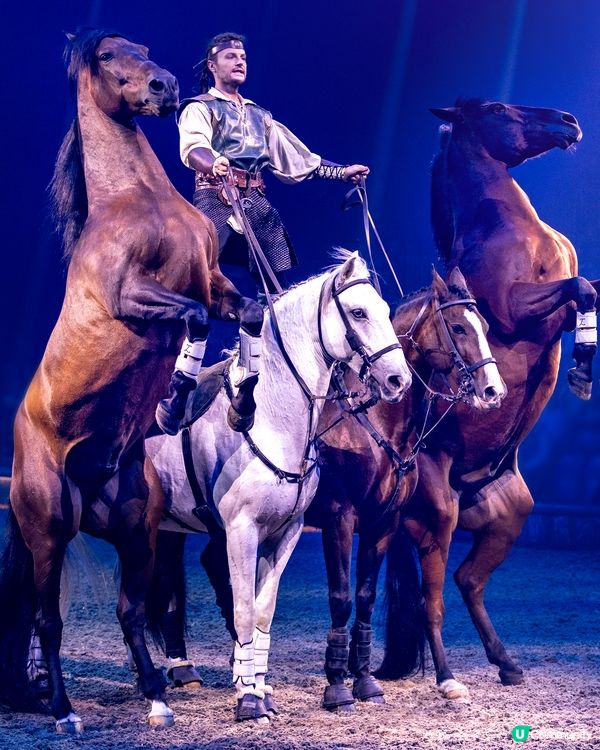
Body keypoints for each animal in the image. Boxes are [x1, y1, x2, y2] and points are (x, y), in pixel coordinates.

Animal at [0, 28, 262, 733]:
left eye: (141, 47)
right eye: (106, 56)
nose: (165, 87)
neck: (136, 201)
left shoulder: (215, 283)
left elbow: (252, 313)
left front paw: (244, 399)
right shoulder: (135, 296)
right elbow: (194, 317)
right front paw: (174, 401)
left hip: (134, 526)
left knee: (129, 610)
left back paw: (157, 696)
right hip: (47, 528)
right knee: (47, 619)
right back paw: (64, 712)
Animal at [140, 266, 504, 710]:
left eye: (484, 325)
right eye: (457, 327)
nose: (494, 391)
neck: (371, 425)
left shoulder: (382, 523)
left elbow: (364, 597)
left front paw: (364, 681)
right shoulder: (338, 519)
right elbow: (341, 596)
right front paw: (336, 686)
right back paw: (184, 667)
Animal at [376, 98, 598, 697]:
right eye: (498, 108)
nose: (568, 121)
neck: (509, 226)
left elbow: (587, 291)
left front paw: (582, 365)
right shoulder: (516, 307)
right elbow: (581, 290)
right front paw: (582, 370)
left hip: (509, 517)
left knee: (467, 579)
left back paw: (507, 663)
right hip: (439, 517)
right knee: (434, 589)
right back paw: (453, 677)